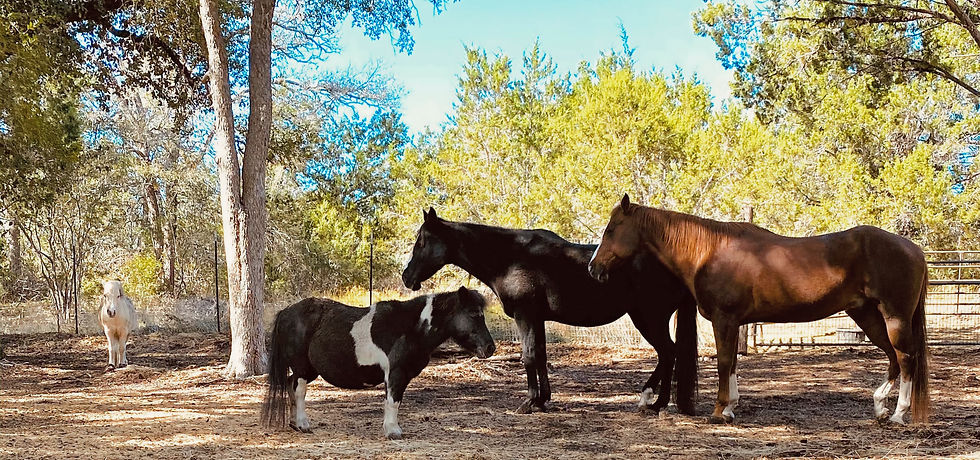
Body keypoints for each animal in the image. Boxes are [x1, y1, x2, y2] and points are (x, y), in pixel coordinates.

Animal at [262, 286, 496, 440]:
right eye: (474, 314)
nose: (490, 348)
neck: (411, 327)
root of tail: (286, 312)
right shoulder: (396, 374)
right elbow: (393, 402)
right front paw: (393, 431)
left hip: (310, 370)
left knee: (290, 385)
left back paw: (294, 423)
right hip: (302, 368)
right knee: (299, 391)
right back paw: (302, 424)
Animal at [401, 208, 699, 415]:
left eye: (421, 242)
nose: (406, 277)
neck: (511, 257)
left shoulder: (525, 316)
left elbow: (529, 355)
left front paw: (529, 402)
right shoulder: (538, 319)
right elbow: (541, 356)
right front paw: (543, 400)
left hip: (649, 319)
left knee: (668, 353)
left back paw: (653, 401)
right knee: (668, 354)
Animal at [588, 194, 930, 425]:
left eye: (611, 229)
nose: (593, 268)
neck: (709, 251)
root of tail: (913, 248)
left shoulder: (724, 320)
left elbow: (724, 363)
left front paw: (719, 411)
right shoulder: (735, 322)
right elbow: (733, 365)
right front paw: (730, 407)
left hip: (894, 317)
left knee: (905, 357)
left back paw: (899, 414)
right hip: (867, 316)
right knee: (893, 357)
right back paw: (880, 407)